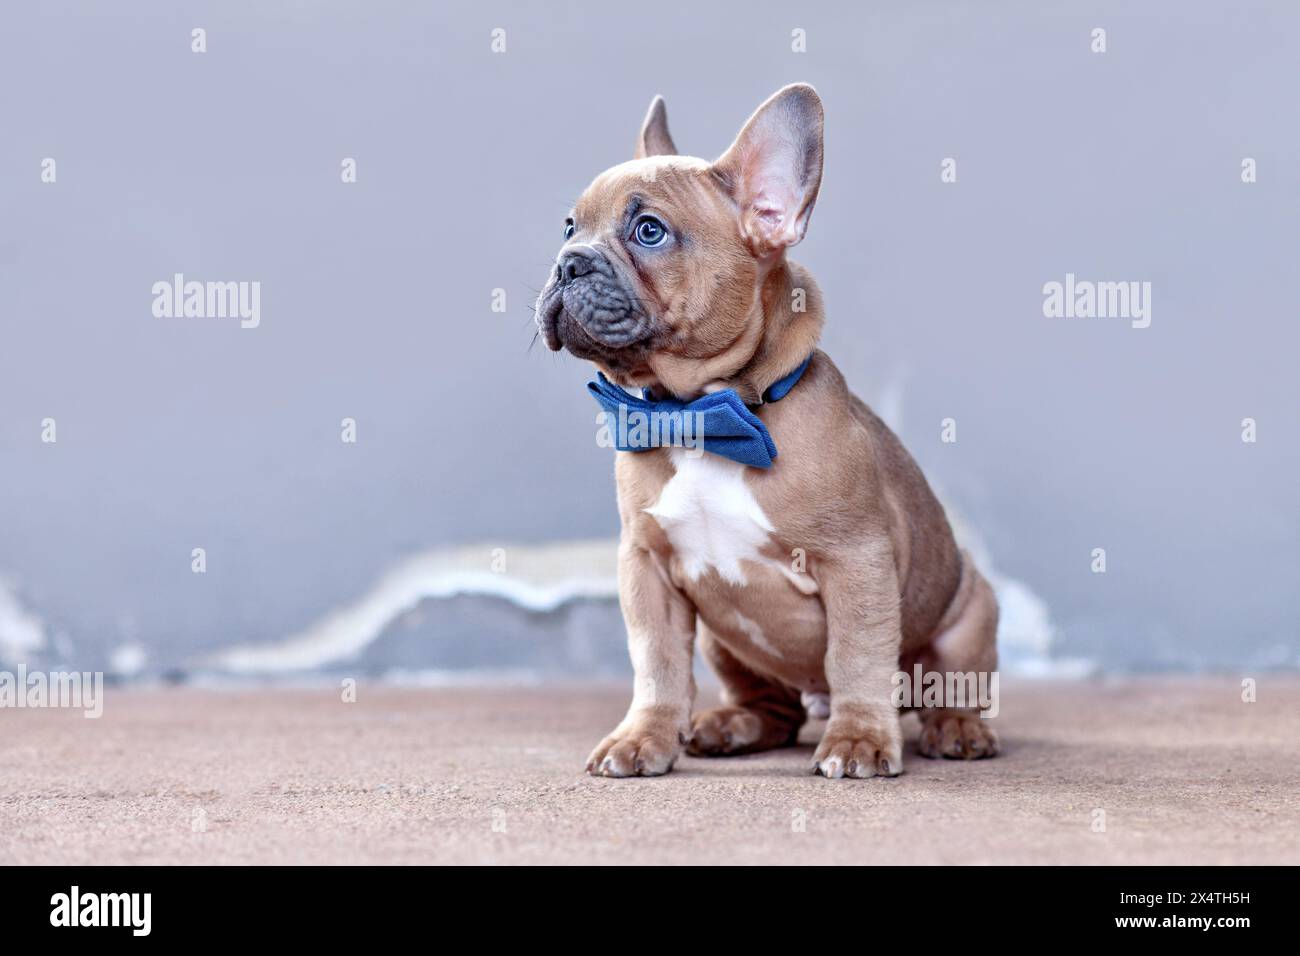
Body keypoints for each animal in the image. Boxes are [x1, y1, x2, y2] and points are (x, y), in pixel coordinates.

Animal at [533, 85, 998, 780]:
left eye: (649, 231)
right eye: (569, 228)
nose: (568, 264)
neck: (702, 413)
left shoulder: (856, 561)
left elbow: (857, 657)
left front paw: (859, 739)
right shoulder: (646, 566)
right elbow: (657, 664)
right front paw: (643, 738)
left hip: (970, 610)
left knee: (945, 685)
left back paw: (956, 727)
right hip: (725, 643)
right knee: (772, 707)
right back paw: (732, 725)